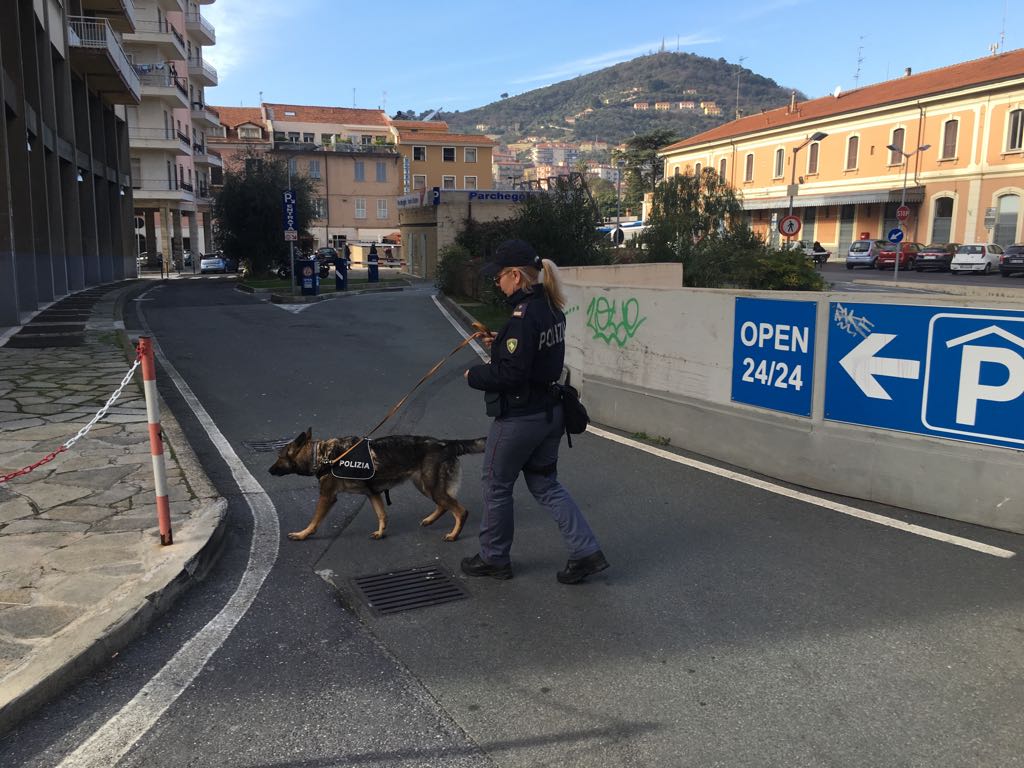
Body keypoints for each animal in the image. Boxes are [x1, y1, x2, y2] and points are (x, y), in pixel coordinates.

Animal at [268, 430, 483, 544]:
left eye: (279, 457)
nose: (269, 470)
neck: (322, 455)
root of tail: (446, 443)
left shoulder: (327, 496)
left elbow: (314, 521)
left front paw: (303, 534)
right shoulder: (373, 494)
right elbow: (382, 515)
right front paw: (381, 532)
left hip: (430, 487)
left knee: (460, 510)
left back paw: (454, 534)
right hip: (424, 486)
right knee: (444, 505)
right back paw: (430, 520)